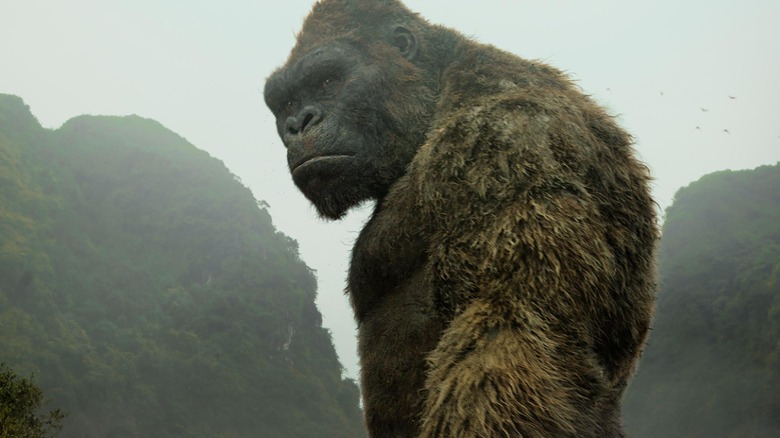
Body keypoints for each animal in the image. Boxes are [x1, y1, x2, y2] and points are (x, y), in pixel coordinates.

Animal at [264, 1, 660, 436]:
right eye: (285, 103)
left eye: (328, 81)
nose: (298, 123)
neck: (441, 88)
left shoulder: (503, 138)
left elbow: (511, 327)